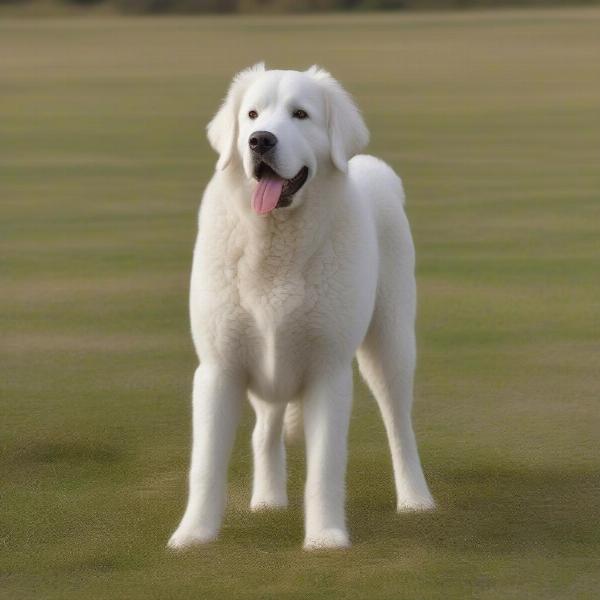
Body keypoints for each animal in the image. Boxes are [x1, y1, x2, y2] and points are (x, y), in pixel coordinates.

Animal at [169, 63, 436, 552]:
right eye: (252, 115)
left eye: (300, 115)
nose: (260, 141)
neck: (275, 243)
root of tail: (374, 170)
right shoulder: (220, 369)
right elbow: (206, 465)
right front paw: (194, 535)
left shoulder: (328, 371)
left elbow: (325, 467)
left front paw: (325, 537)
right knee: (265, 431)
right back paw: (267, 499)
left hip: (390, 346)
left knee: (399, 425)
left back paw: (415, 500)